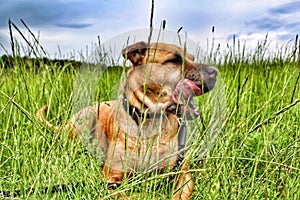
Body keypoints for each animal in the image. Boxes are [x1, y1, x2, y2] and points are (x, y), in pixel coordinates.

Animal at [36, 41, 217, 199]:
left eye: (192, 57)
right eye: (174, 60)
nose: (214, 72)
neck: (148, 123)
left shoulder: (182, 172)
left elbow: (180, 193)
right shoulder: (110, 180)